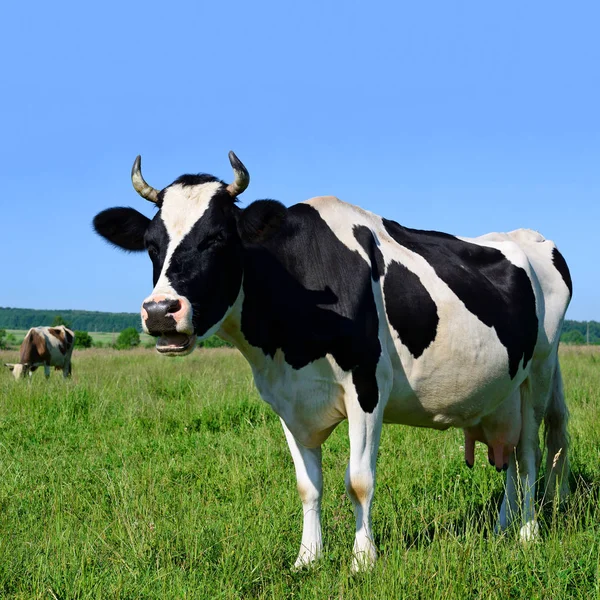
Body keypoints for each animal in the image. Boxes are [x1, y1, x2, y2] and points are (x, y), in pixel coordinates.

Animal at [94, 152, 572, 568]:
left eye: (217, 239)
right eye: (151, 244)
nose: (160, 311)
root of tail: (528, 236)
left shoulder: (367, 385)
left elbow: (358, 481)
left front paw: (363, 560)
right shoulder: (286, 398)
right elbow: (308, 486)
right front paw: (308, 558)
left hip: (539, 372)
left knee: (530, 452)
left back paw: (528, 533)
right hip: (502, 392)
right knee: (509, 455)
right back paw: (503, 526)